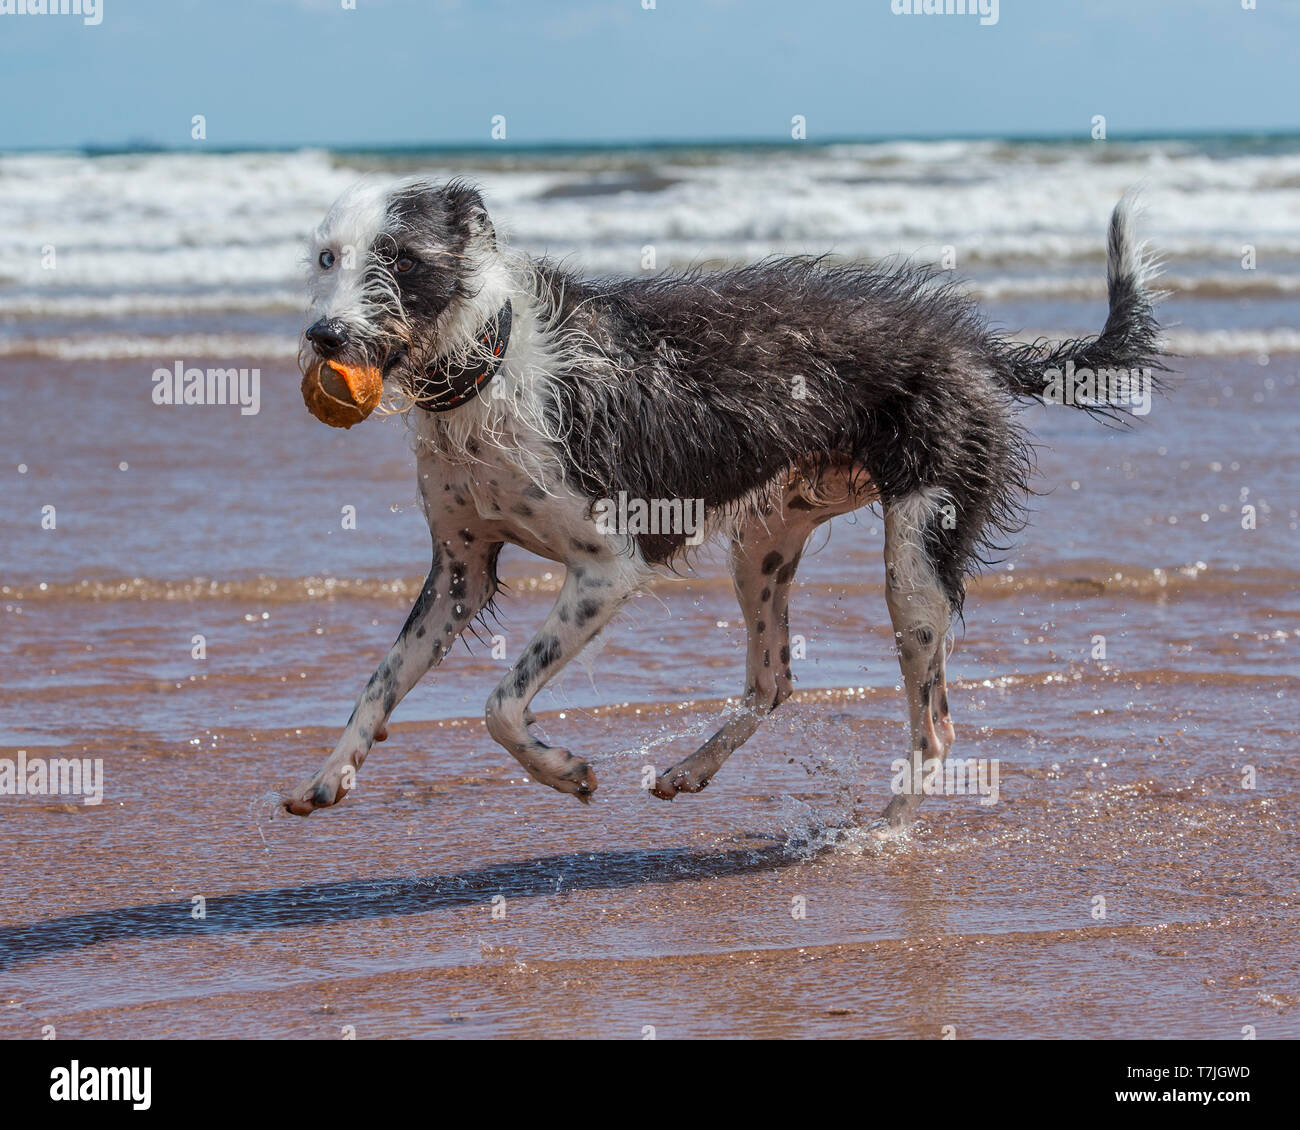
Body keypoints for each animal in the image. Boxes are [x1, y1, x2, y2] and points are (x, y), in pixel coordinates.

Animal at [279, 178, 1164, 827]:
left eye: (400, 258)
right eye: (327, 257)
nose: (324, 337)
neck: (488, 364)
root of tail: (976, 346)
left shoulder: (606, 567)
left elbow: (500, 705)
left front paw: (564, 772)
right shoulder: (460, 570)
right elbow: (381, 679)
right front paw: (330, 773)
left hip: (915, 558)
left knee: (934, 726)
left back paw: (879, 833)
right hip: (765, 541)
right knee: (773, 681)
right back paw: (692, 768)